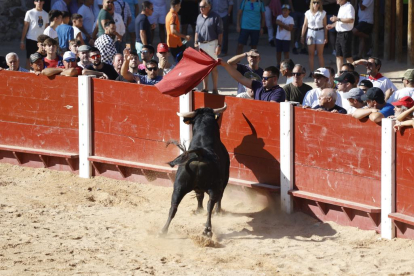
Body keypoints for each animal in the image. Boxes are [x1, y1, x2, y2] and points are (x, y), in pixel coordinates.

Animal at [160, 104, 230, 236]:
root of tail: (199, 154)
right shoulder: (224, 180)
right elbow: (218, 197)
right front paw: (217, 211)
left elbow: (199, 195)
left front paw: (198, 210)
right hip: (214, 186)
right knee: (210, 204)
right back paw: (207, 230)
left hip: (178, 187)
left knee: (173, 206)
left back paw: (163, 231)